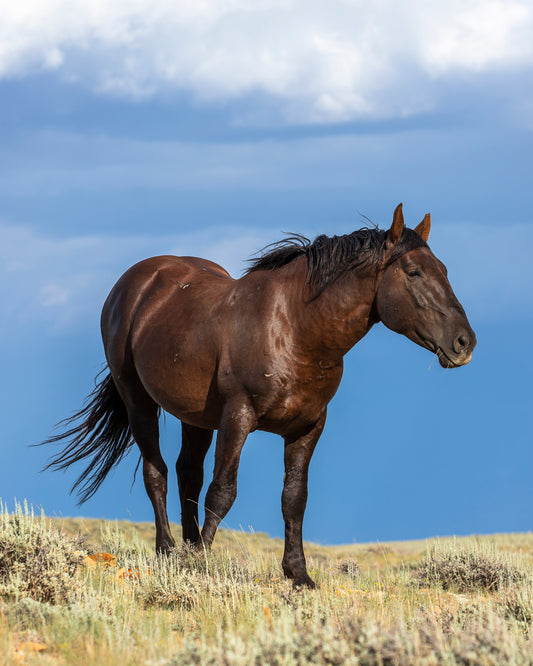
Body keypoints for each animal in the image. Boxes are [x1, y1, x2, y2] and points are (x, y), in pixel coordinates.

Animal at [43, 204, 476, 588]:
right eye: (413, 272)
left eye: (444, 270)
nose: (464, 343)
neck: (295, 328)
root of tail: (135, 282)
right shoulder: (238, 417)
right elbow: (223, 491)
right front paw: (201, 563)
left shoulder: (307, 427)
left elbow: (293, 498)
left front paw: (298, 574)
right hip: (139, 401)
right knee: (158, 473)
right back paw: (169, 551)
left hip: (195, 418)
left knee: (187, 475)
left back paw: (186, 547)